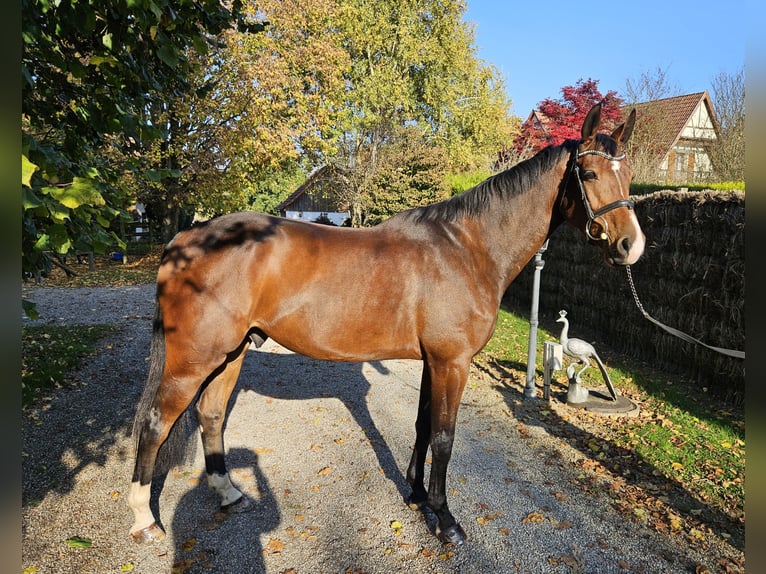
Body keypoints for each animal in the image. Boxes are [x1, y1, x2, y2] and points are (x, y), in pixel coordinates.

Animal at [128, 103, 643, 546]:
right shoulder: (452, 362)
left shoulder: (433, 361)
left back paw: (229, 493)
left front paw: (416, 495)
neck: (466, 249)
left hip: (231, 354)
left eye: (628, 176)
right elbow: (444, 437)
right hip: (194, 359)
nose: (630, 246)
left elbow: (422, 427)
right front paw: (446, 520)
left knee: (210, 415)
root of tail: (186, 238)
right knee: (155, 422)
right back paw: (143, 519)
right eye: (590, 174)